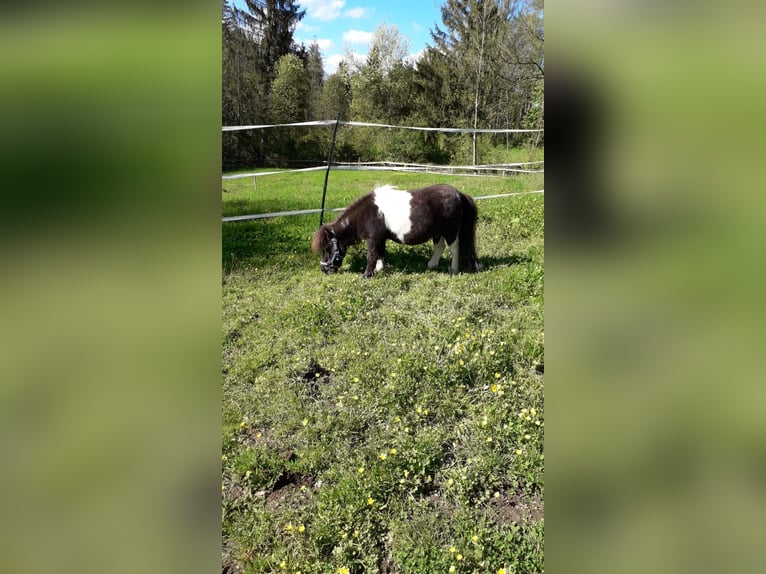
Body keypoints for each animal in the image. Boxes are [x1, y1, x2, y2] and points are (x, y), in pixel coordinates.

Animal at [310, 184, 480, 280]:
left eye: (328, 248)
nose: (324, 269)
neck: (367, 212)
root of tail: (459, 194)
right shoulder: (380, 238)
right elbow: (380, 253)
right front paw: (379, 269)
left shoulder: (372, 238)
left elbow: (371, 255)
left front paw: (367, 275)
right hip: (438, 233)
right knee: (440, 247)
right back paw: (431, 265)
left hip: (450, 232)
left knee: (454, 248)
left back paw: (454, 270)